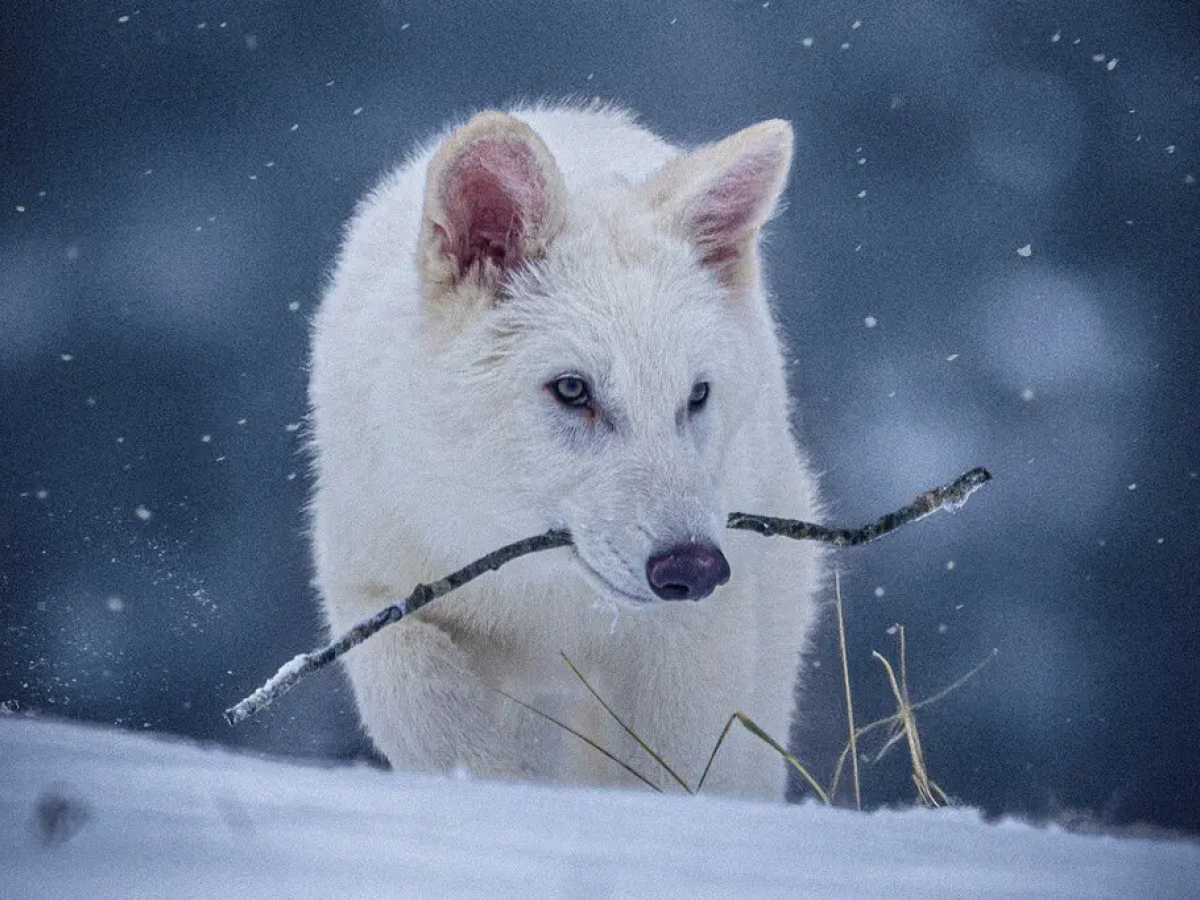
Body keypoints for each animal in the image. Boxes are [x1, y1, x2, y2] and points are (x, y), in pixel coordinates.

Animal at [308, 102, 825, 799]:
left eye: (695, 395)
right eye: (573, 389)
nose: (693, 568)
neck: (544, 596)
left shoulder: (690, 642)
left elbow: (673, 769)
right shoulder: (373, 590)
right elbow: (427, 705)